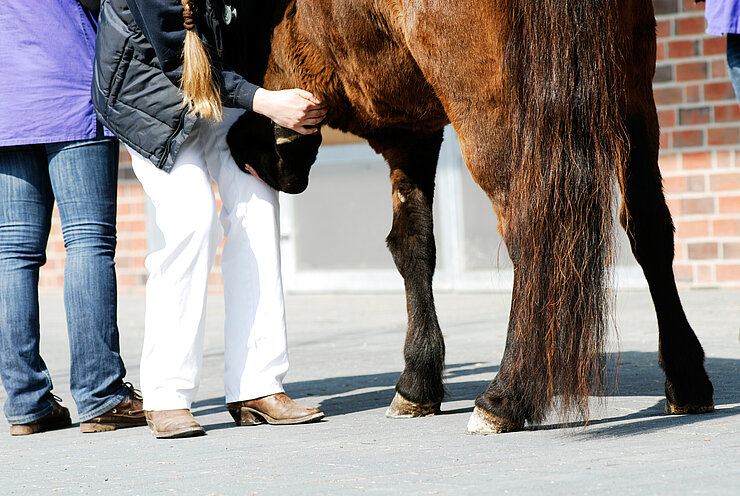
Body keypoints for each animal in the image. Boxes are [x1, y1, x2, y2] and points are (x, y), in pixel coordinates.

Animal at [223, 0, 712, 432]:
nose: (245, 153)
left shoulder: (402, 130)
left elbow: (408, 248)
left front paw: (416, 382)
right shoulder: (415, 130)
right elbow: (416, 242)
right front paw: (420, 382)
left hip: (490, 107)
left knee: (531, 231)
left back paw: (505, 396)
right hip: (630, 92)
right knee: (648, 227)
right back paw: (686, 380)